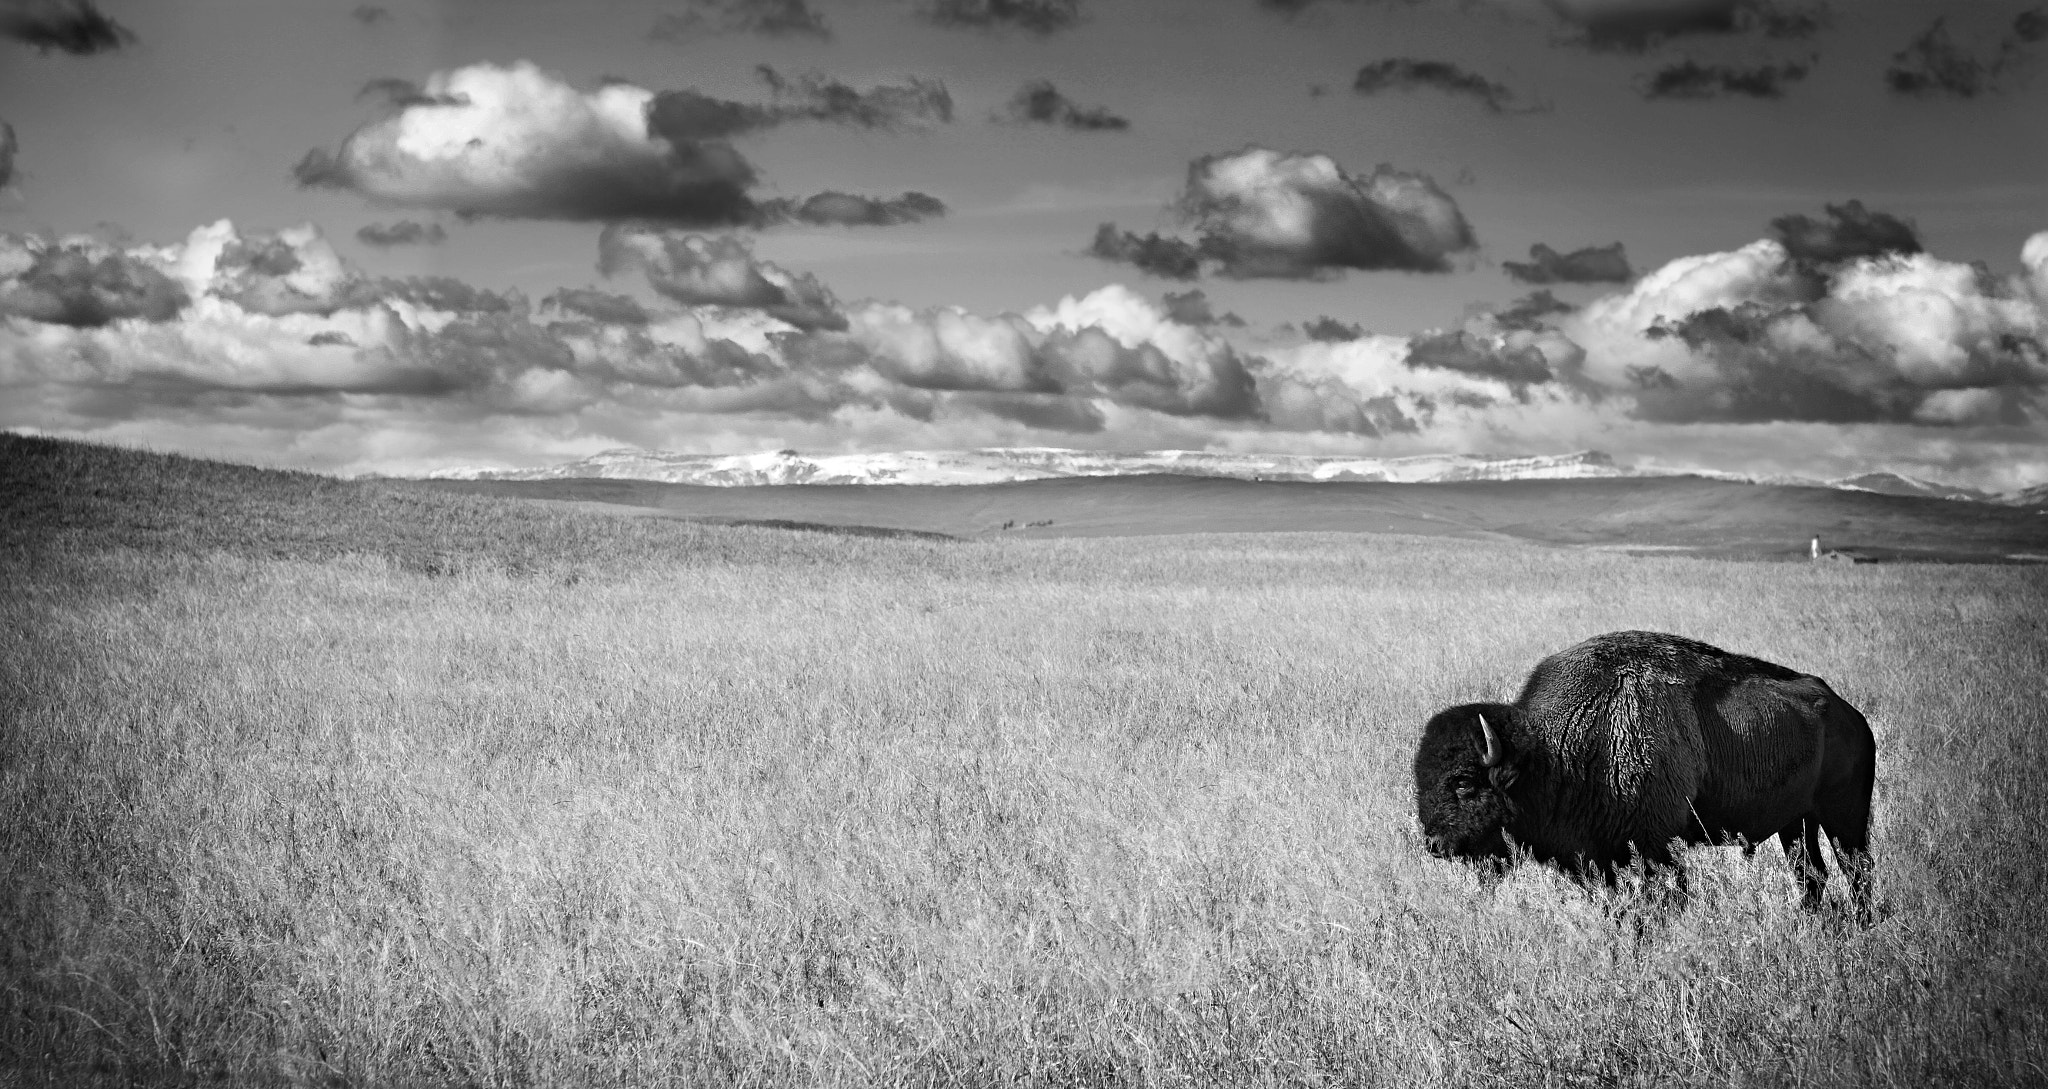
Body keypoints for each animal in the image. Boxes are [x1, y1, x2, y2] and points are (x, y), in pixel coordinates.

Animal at [1414, 631, 1875, 921]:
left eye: (1463, 783)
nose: (1434, 844)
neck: (1554, 750)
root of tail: (1852, 716)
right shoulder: (1600, 857)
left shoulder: (1654, 846)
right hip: (1796, 823)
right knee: (1812, 873)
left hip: (1844, 818)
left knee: (1857, 870)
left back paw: (1861, 926)